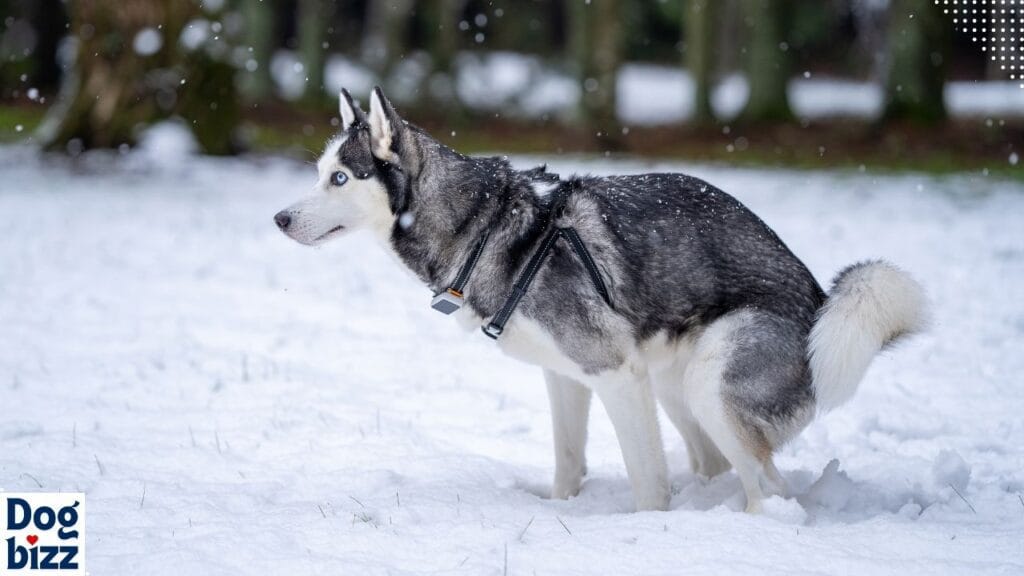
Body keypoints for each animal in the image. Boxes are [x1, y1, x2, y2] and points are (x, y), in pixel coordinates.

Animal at [274, 88, 929, 510]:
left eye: (340, 178)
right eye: (318, 173)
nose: (279, 219)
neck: (485, 226)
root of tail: (820, 304)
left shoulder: (615, 373)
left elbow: (648, 484)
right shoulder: (568, 377)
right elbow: (569, 460)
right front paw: (562, 508)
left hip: (708, 384)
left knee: (770, 488)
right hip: (671, 382)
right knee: (722, 468)